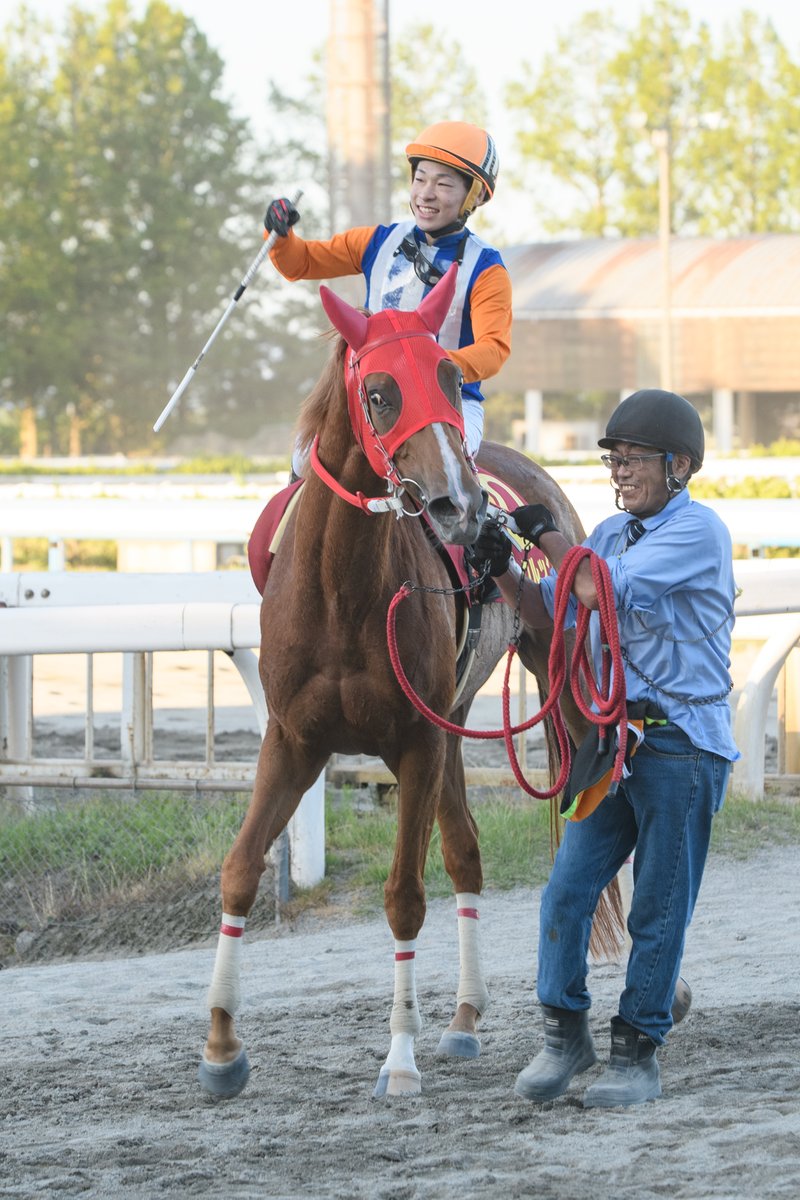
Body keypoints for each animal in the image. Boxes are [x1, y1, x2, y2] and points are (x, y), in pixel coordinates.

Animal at [199, 265, 622, 1101]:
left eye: (451, 376)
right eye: (379, 392)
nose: (462, 505)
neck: (342, 589)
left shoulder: (415, 741)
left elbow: (402, 897)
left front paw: (398, 1058)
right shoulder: (294, 739)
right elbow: (238, 872)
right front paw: (223, 1046)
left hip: (553, 677)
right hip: (456, 722)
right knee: (466, 852)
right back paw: (463, 1017)